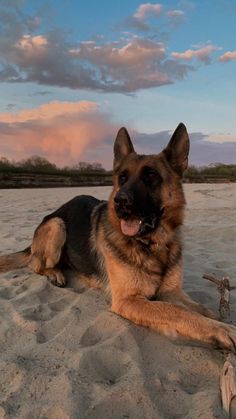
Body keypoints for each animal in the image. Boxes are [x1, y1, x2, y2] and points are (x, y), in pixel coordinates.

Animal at [0, 124, 236, 352]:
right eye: (122, 178)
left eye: (151, 176)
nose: (119, 202)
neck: (151, 245)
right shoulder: (128, 300)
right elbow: (176, 311)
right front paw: (221, 331)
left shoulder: (172, 291)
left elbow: (201, 309)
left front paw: (220, 322)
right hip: (57, 225)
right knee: (34, 264)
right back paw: (54, 272)